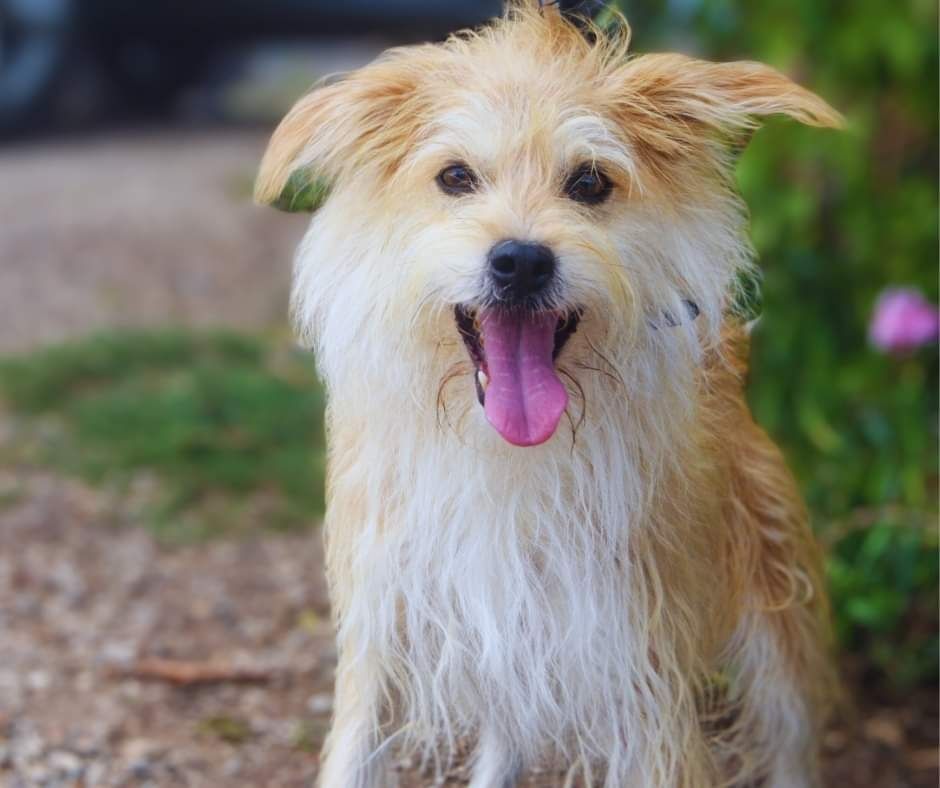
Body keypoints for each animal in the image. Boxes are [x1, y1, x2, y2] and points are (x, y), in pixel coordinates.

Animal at [253, 3, 840, 784]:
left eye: (589, 183)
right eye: (455, 176)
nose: (522, 260)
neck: (506, 456)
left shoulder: (642, 676)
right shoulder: (386, 636)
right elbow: (353, 754)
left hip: (776, 638)